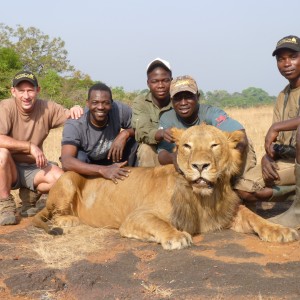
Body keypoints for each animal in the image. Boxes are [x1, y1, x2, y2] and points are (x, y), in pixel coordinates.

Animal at [31, 123, 298, 250]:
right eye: (187, 146)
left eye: (214, 145)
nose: (200, 166)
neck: (205, 196)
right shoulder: (135, 217)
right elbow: (160, 224)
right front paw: (176, 236)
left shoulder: (226, 212)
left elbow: (254, 217)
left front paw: (280, 230)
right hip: (67, 178)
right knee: (51, 213)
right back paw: (69, 220)